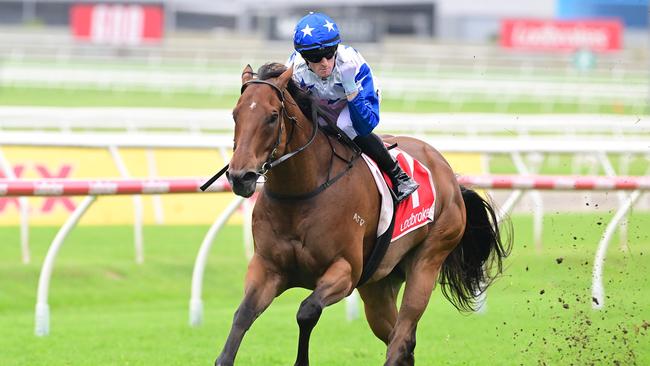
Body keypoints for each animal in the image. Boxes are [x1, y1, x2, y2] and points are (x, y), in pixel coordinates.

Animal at [215, 63, 508, 366]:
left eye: (273, 116)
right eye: (235, 114)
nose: (240, 176)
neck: (302, 192)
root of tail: (448, 172)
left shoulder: (345, 270)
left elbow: (307, 311)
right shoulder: (268, 267)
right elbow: (243, 314)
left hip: (428, 259)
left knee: (402, 337)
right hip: (379, 284)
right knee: (398, 338)